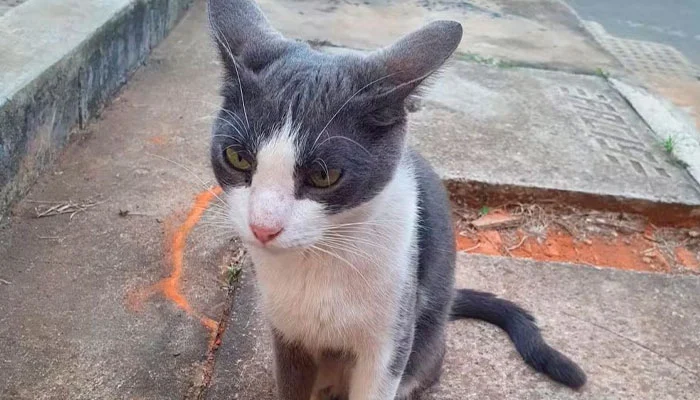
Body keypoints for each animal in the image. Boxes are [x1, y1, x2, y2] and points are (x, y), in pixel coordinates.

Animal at [206, 1, 584, 398]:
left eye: (324, 176)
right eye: (237, 158)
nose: (263, 227)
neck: (319, 258)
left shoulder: (392, 335)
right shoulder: (287, 335)